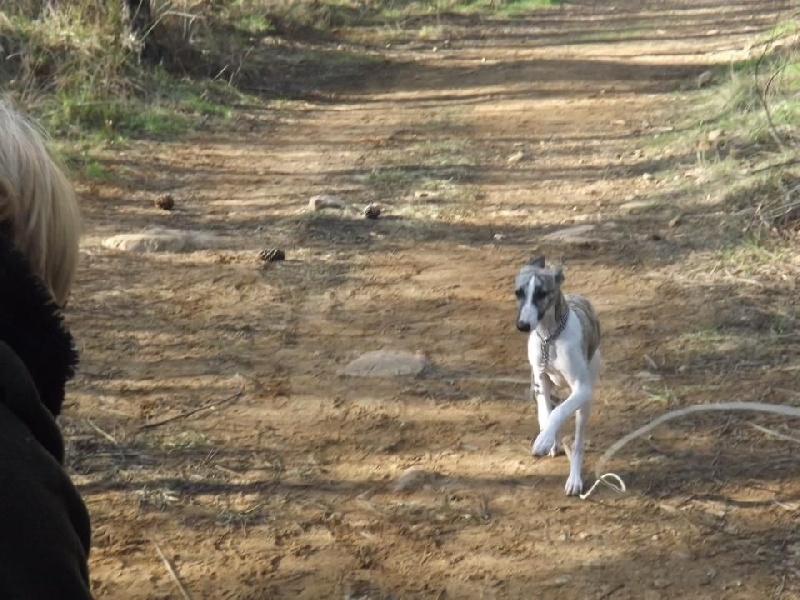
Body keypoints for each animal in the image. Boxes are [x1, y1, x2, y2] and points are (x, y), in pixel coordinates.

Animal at [515, 256, 601, 495]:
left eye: (542, 293)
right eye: (518, 293)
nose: (522, 326)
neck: (550, 337)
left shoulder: (582, 389)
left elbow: (558, 412)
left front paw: (545, 440)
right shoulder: (540, 382)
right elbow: (546, 414)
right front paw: (547, 439)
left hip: (585, 402)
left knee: (578, 442)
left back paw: (574, 480)